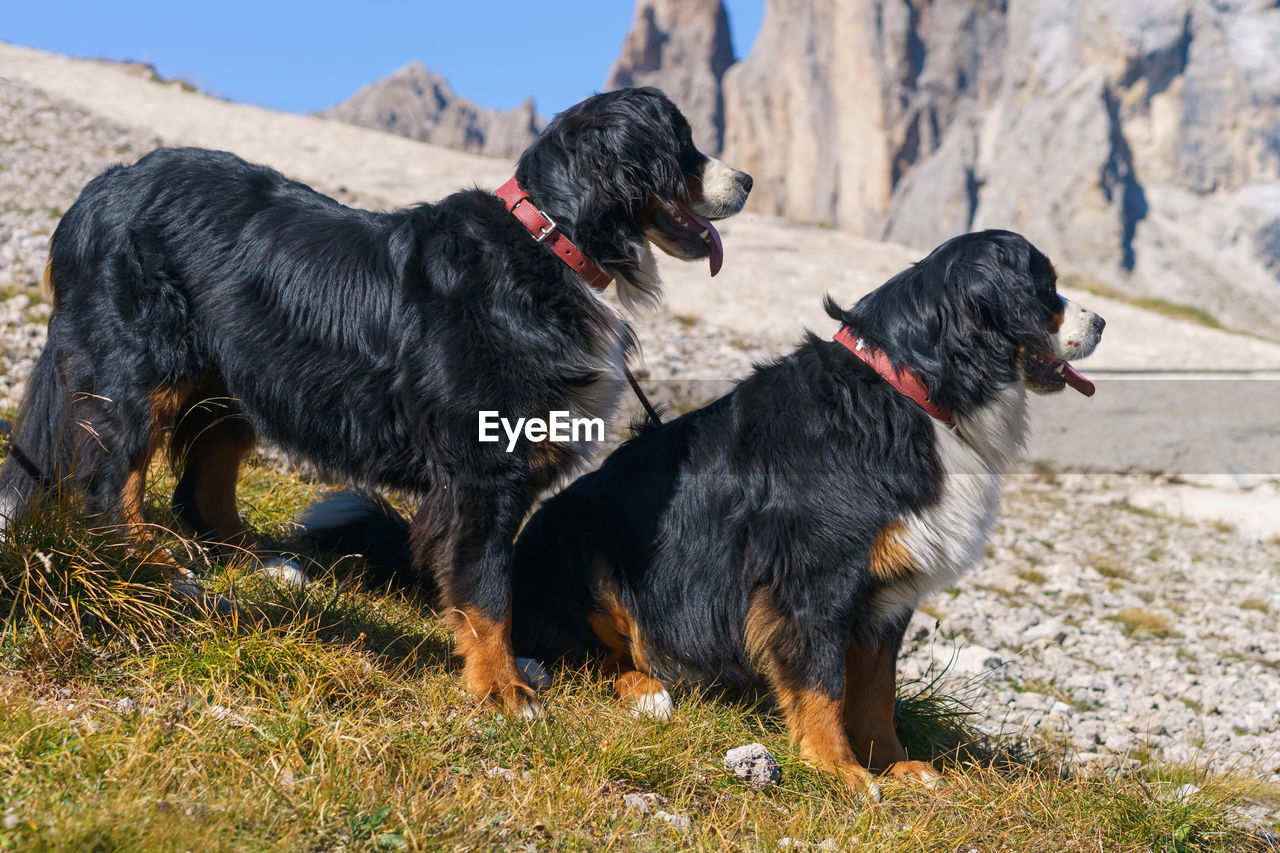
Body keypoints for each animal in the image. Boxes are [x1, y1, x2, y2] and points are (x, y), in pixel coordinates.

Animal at [0, 86, 747, 712]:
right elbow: (487, 587)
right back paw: (150, 563)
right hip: (140, 365)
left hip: (235, 370)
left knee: (204, 477)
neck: (552, 245)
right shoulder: (483, 471)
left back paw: (254, 560)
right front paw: (502, 688)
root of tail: (108, 184)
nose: (746, 181)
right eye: (682, 143)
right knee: (111, 478)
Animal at [504, 229, 1105, 794]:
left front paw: (896, 765)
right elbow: (823, 682)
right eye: (1044, 285)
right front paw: (837, 768)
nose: (1100, 322)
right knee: (585, 652)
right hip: (583, 541)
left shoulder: (889, 593)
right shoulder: (817, 578)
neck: (911, 392)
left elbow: (876, 692)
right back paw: (644, 690)